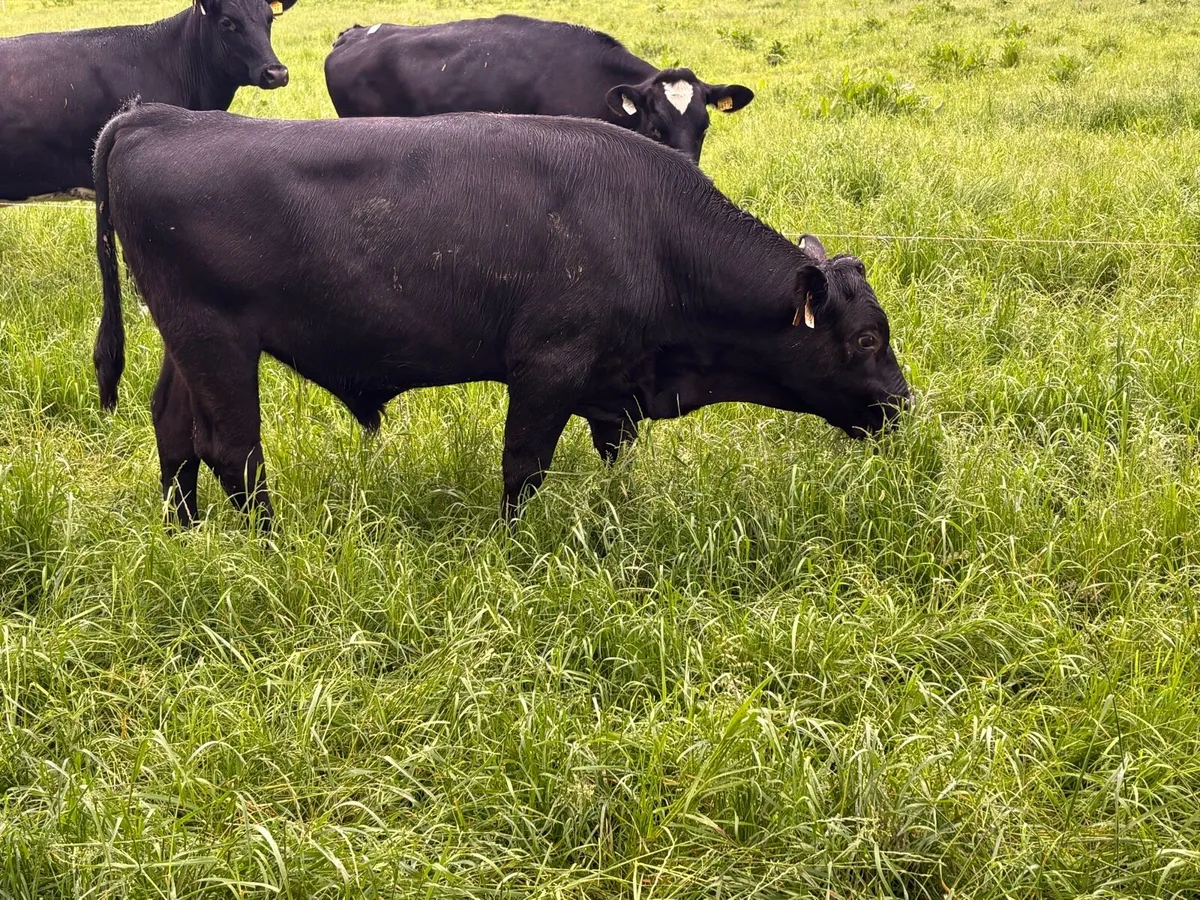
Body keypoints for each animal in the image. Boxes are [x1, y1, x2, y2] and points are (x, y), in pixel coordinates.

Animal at [92, 103, 910, 526]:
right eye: (867, 336)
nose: (903, 405)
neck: (651, 230)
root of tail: (156, 116)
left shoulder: (614, 387)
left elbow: (613, 457)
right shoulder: (548, 366)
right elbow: (524, 465)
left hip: (185, 340)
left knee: (174, 428)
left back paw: (186, 529)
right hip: (216, 336)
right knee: (233, 448)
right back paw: (267, 542)